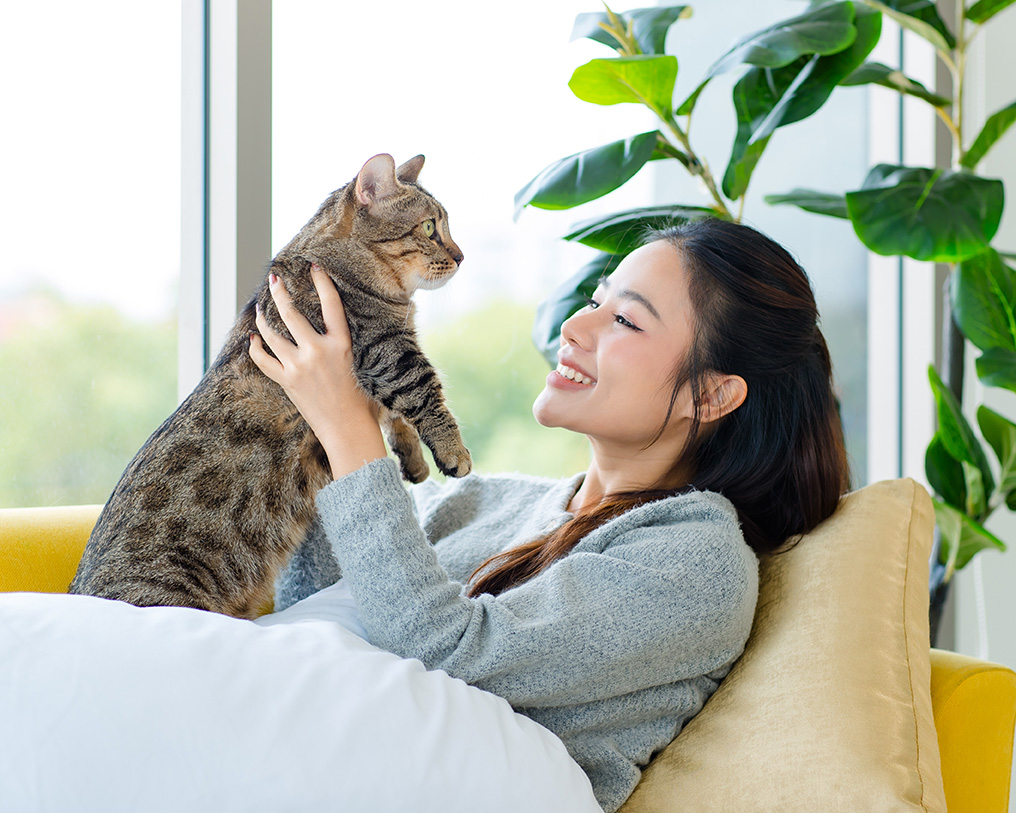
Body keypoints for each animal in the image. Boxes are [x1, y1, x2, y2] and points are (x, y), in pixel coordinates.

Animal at [69, 155, 469, 617]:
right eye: (429, 227)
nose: (461, 256)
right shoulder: (385, 350)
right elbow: (425, 395)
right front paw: (452, 452)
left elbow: (396, 416)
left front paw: (413, 460)